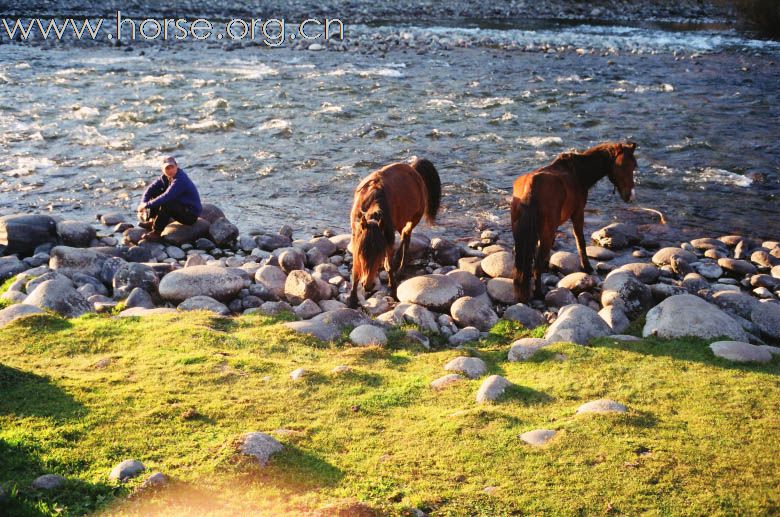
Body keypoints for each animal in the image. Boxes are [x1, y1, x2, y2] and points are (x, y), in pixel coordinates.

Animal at [348, 157, 442, 306]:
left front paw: (392, 288)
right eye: (362, 253)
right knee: (404, 236)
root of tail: (413, 168)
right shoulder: (357, 238)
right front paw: (352, 298)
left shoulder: (387, 239)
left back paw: (400, 266)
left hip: (412, 219)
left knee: (406, 236)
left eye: (379, 253)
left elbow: (388, 266)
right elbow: (355, 269)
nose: (368, 285)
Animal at [516, 141, 636, 302]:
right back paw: (539, 293)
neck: (578, 173)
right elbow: (580, 241)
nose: (630, 196)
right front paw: (587, 267)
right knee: (536, 265)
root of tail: (531, 186)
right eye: (623, 165)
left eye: (634, 166)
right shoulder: (578, 213)